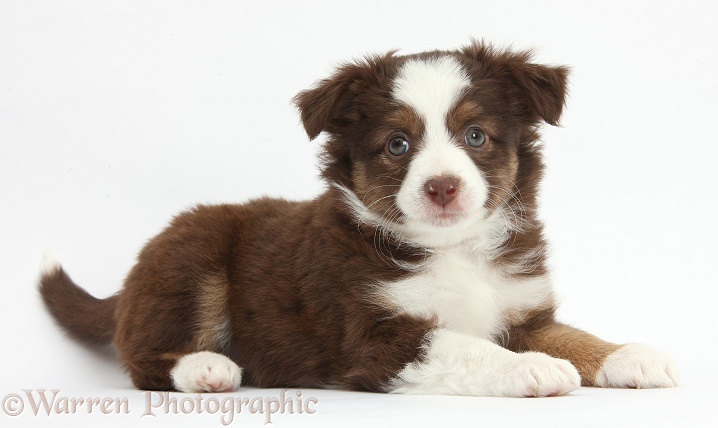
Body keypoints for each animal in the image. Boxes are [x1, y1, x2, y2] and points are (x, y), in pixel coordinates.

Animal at [39, 41, 680, 396]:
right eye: (398, 145)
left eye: (475, 136)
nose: (442, 187)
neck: (452, 249)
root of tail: (127, 284)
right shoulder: (373, 335)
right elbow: (462, 346)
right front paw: (534, 371)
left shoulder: (519, 308)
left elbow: (571, 334)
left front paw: (630, 355)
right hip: (190, 261)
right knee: (141, 357)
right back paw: (207, 369)